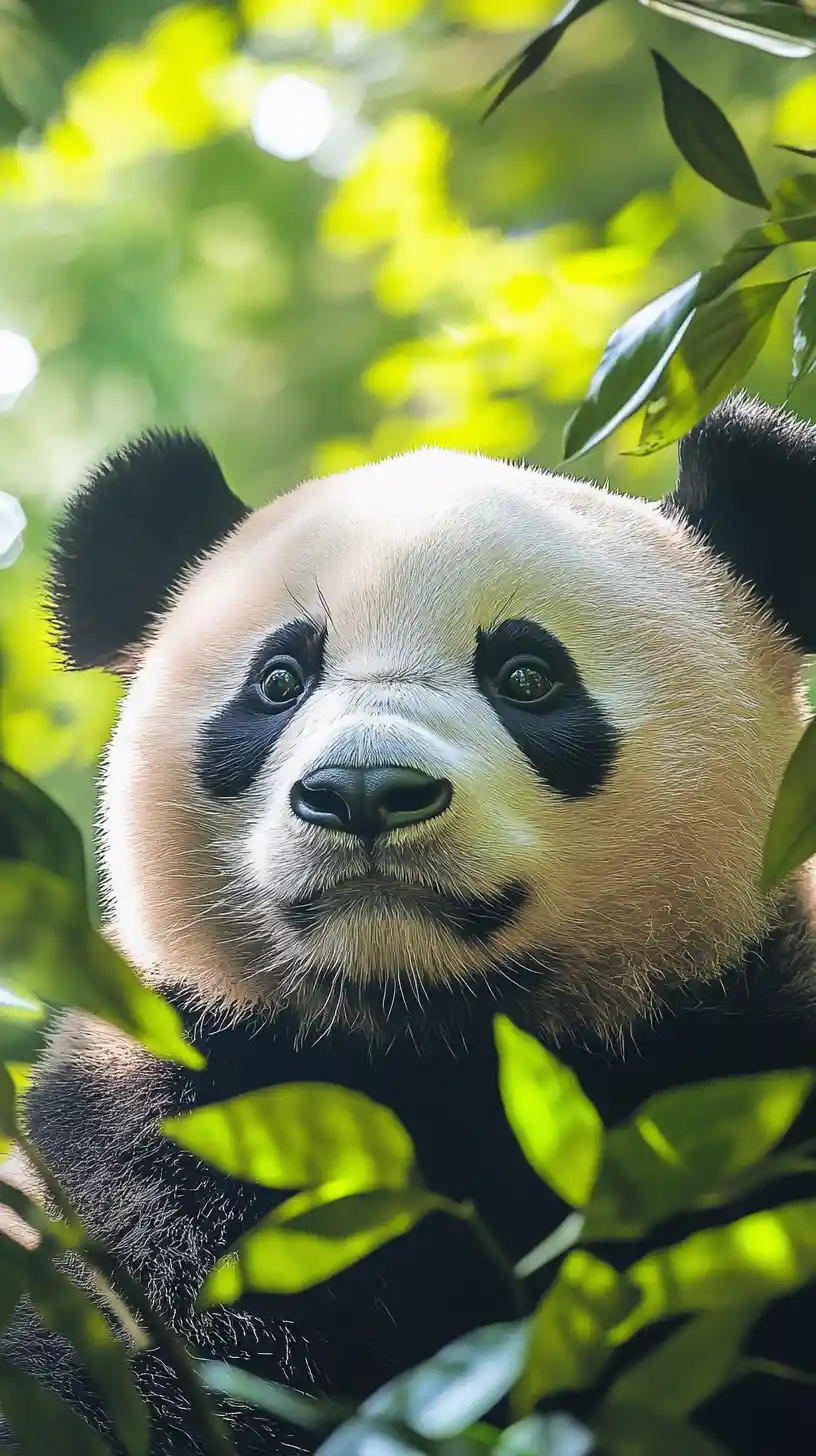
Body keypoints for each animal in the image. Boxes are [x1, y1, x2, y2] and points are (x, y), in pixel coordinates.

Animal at [3, 392, 816, 1456]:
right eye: (279, 680)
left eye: (526, 675)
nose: (362, 792)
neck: (433, 1033)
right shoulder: (167, 1127)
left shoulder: (745, 1084)